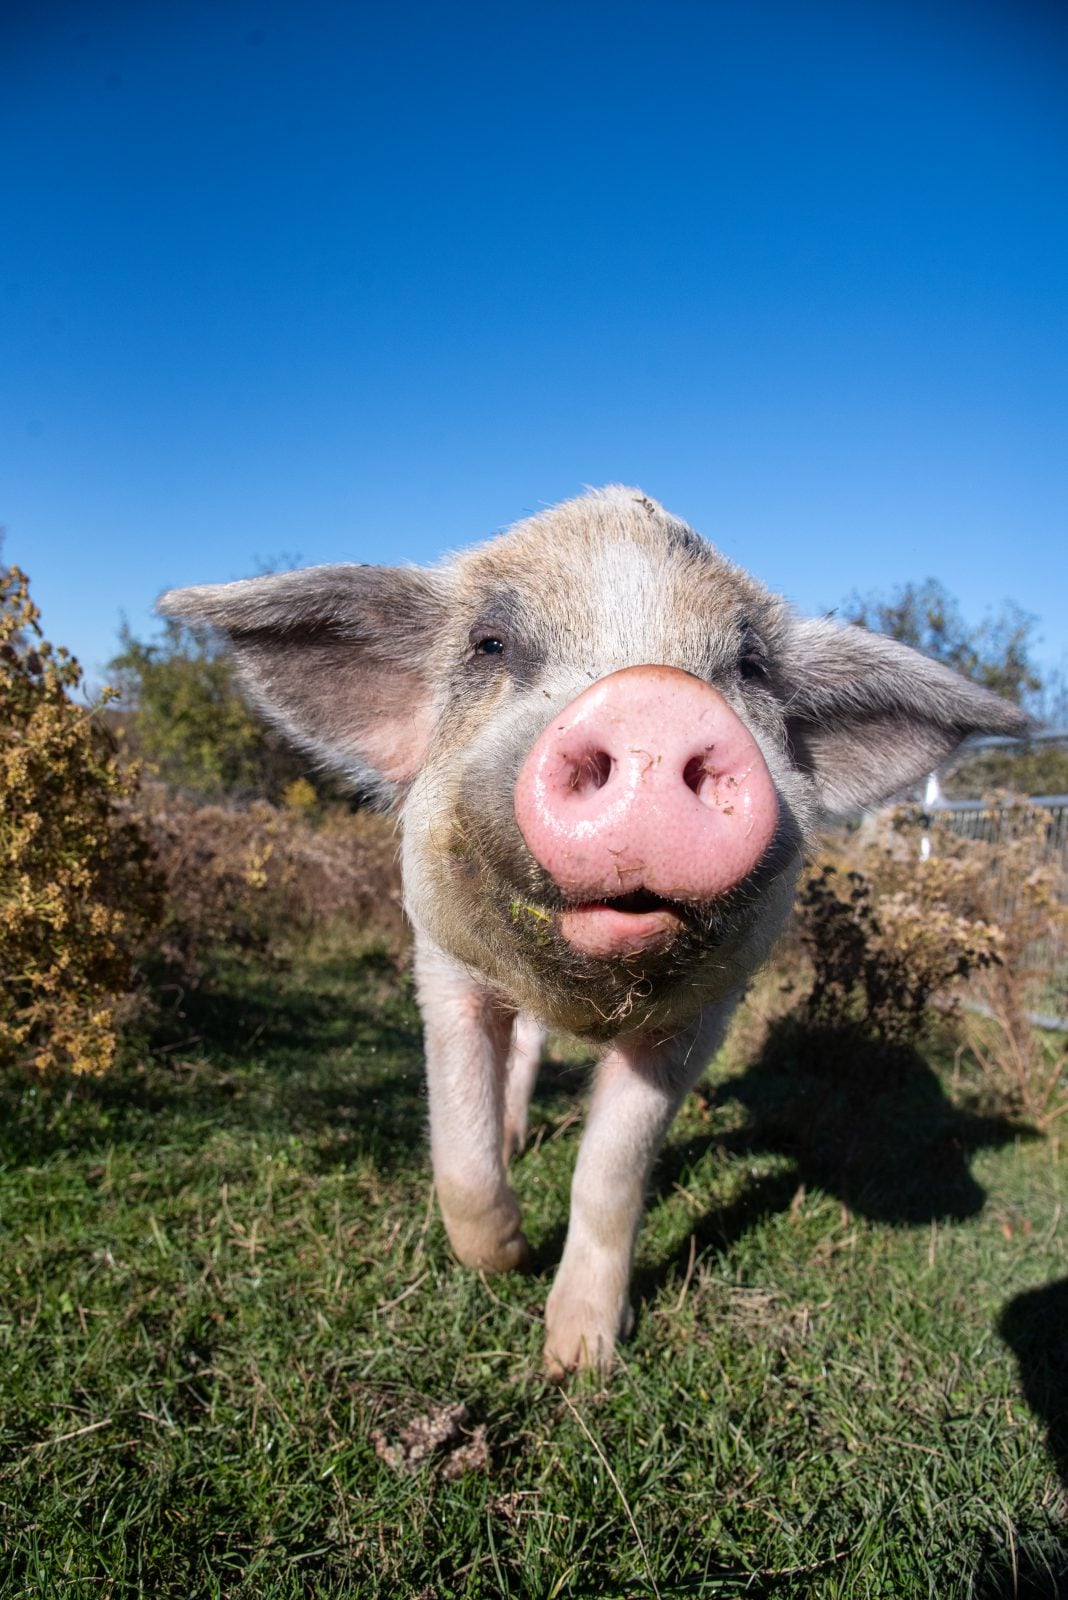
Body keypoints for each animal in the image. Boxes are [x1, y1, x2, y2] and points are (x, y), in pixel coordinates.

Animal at [159, 487, 1029, 1373]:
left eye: (750, 668)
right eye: (490, 644)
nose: (654, 699)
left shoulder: (702, 1018)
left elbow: (612, 1170)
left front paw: (579, 1362)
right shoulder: (441, 965)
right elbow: (459, 1139)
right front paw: (506, 1256)